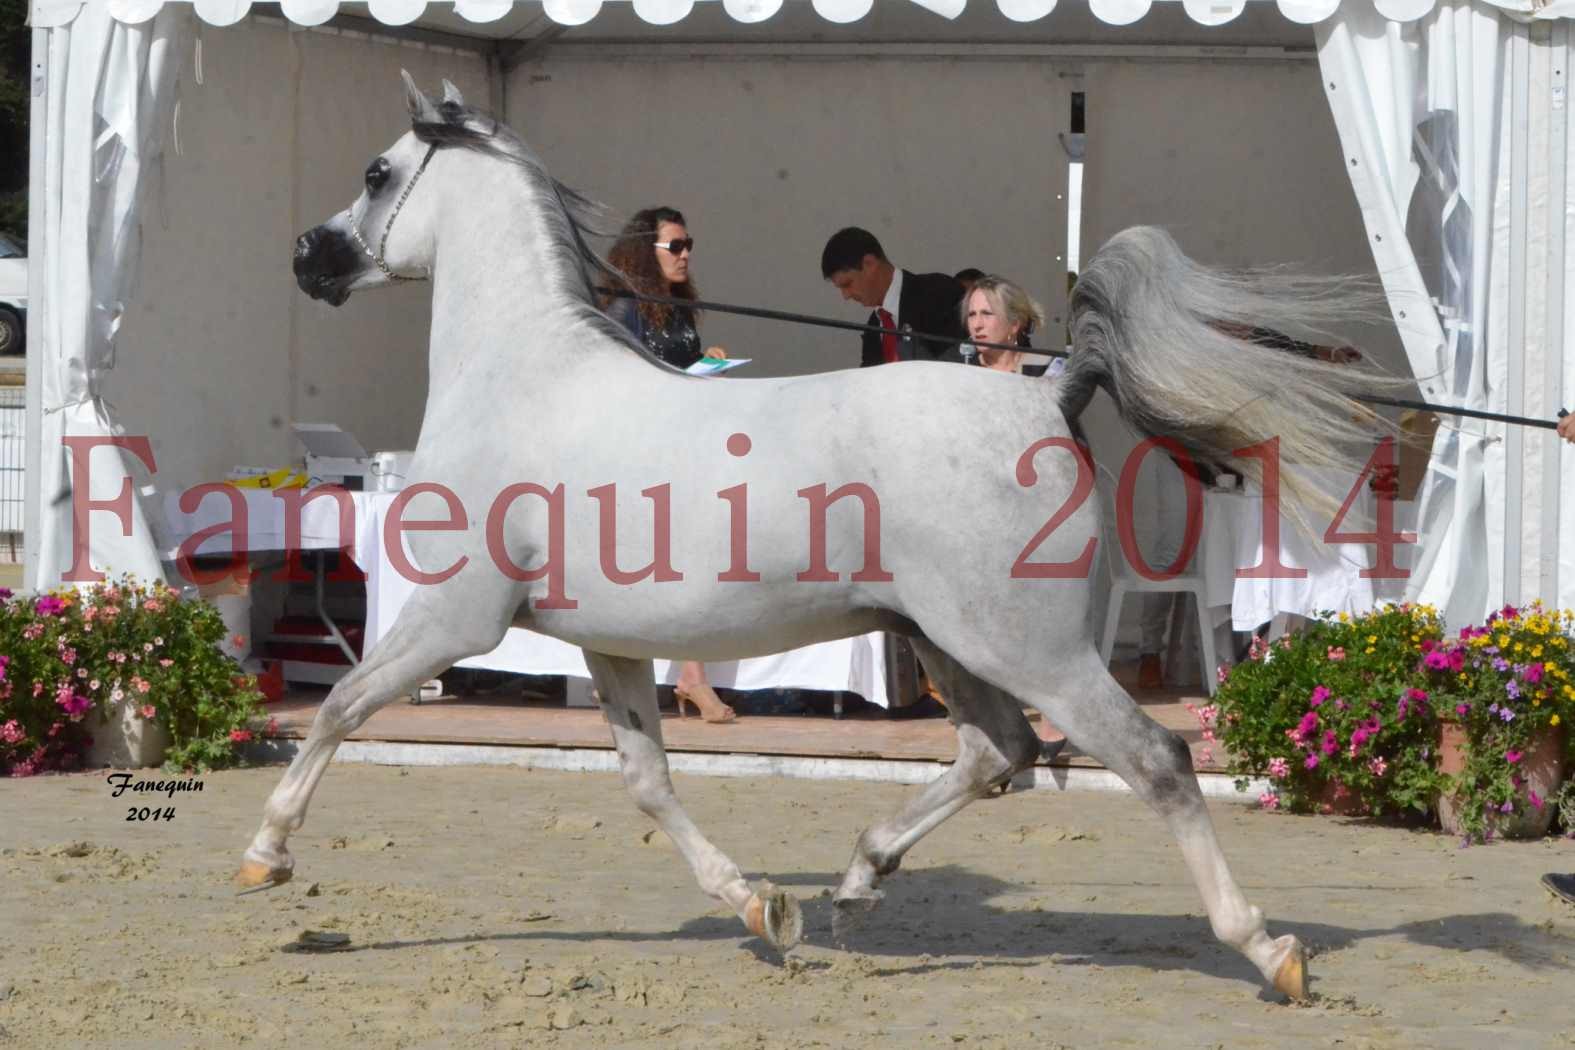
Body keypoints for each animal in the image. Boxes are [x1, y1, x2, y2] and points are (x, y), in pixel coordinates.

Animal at [242, 75, 1392, 1001]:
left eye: (377, 172)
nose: (304, 258)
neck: (524, 381)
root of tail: (1047, 389)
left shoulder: (454, 620)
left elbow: (340, 709)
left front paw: (265, 856)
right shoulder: (607, 646)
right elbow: (648, 781)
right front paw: (763, 906)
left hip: (1033, 651)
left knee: (1150, 760)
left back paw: (1269, 952)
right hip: (947, 641)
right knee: (1001, 753)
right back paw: (853, 882)